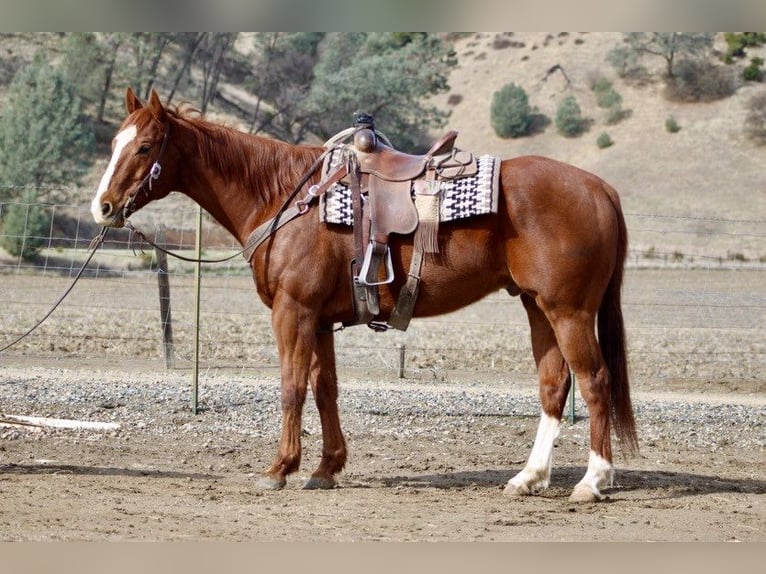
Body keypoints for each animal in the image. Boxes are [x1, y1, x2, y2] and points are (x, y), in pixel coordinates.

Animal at [91, 88, 637, 502]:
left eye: (145, 147)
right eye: (116, 141)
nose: (104, 207)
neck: (287, 197)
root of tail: (601, 188)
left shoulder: (293, 313)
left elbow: (291, 387)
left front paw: (280, 468)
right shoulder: (319, 320)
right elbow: (324, 389)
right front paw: (326, 468)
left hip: (569, 312)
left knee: (595, 382)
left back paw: (592, 481)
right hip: (537, 307)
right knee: (554, 387)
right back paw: (529, 477)